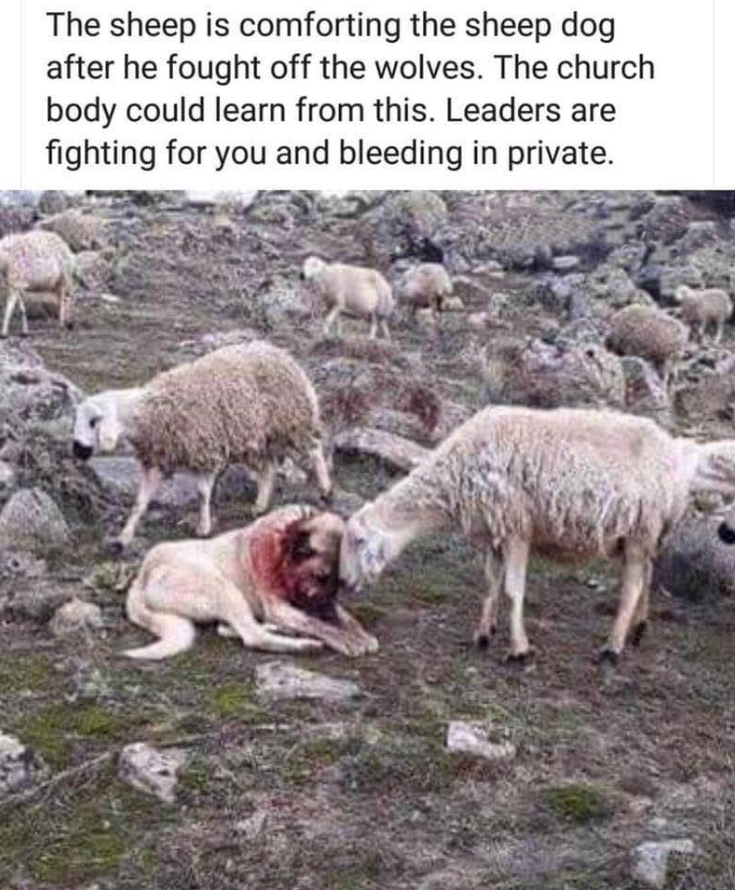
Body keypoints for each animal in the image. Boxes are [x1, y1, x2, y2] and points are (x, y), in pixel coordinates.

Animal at [71, 340, 330, 548]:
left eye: (93, 422)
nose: (77, 451)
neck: (150, 412)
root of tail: (279, 352)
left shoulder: (206, 452)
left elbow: (203, 494)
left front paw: (204, 528)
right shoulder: (156, 460)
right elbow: (140, 502)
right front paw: (124, 536)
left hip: (293, 421)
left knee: (314, 450)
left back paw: (326, 490)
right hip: (258, 437)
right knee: (268, 468)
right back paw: (260, 505)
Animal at [121, 502, 380, 656]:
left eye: (339, 583)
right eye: (321, 576)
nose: (323, 606)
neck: (281, 554)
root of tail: (142, 573)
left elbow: (344, 617)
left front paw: (358, 633)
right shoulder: (280, 608)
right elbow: (315, 623)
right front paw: (344, 639)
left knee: (229, 628)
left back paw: (287, 632)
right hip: (222, 587)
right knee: (252, 636)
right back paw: (304, 644)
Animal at [340, 406, 735, 664]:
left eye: (358, 542)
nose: (342, 582)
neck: (453, 474)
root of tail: (679, 454)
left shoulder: (516, 527)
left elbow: (513, 590)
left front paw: (519, 649)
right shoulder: (495, 533)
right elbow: (491, 585)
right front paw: (484, 633)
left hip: (641, 529)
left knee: (633, 587)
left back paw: (612, 647)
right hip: (644, 532)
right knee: (648, 575)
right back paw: (638, 629)